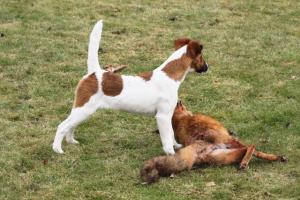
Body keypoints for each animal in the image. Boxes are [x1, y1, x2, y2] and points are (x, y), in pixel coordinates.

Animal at [52, 19, 209, 155]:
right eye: (202, 57)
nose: (207, 67)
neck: (169, 76)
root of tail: (94, 73)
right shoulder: (163, 116)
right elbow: (166, 138)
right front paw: (171, 153)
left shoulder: (169, 114)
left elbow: (171, 134)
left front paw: (176, 146)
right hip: (84, 109)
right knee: (62, 126)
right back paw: (57, 149)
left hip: (83, 111)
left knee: (71, 126)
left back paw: (71, 141)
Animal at [141, 101, 286, 183]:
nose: (179, 99)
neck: (180, 119)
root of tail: (203, 140)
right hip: (230, 145)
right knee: (252, 146)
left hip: (223, 156)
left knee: (245, 150)